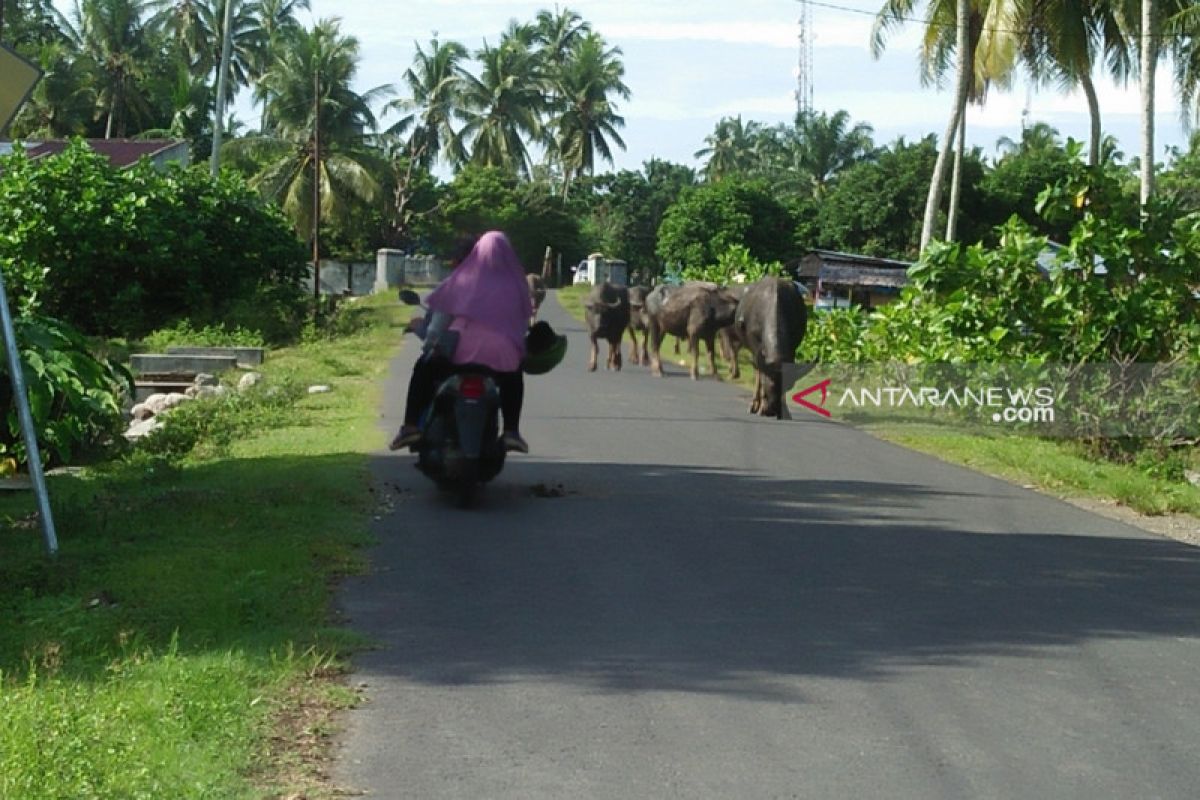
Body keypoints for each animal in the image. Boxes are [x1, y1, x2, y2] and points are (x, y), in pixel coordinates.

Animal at [729, 278, 806, 419]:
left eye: (788, 386)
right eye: (768, 385)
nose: (773, 410)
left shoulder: (791, 349)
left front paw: (785, 411)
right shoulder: (757, 349)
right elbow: (760, 375)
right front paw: (761, 407)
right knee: (757, 372)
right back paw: (755, 405)